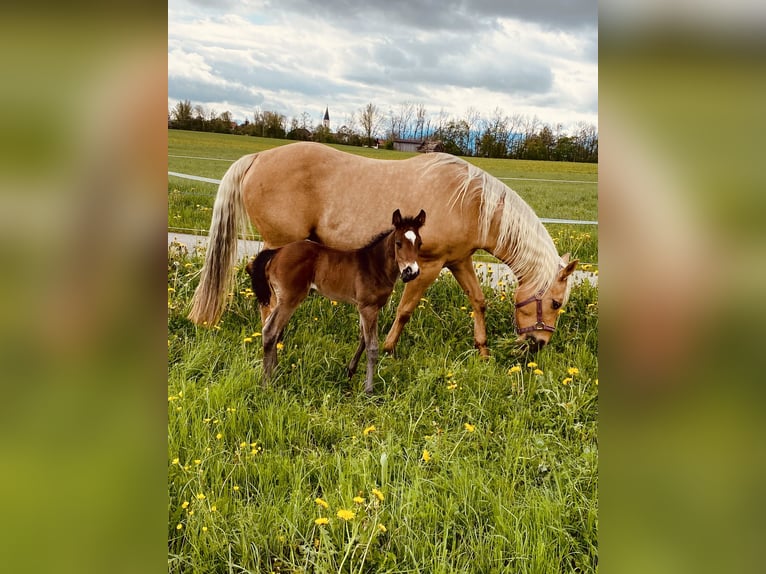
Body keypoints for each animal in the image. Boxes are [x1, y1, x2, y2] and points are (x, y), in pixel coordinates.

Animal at [189, 142, 580, 354]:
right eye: (556, 303)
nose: (539, 344)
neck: (470, 201)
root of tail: (257, 157)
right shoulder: (429, 265)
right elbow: (406, 309)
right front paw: (390, 348)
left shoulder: (458, 261)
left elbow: (478, 300)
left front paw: (481, 349)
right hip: (279, 246)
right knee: (267, 292)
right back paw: (275, 337)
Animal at [246, 210, 426, 396]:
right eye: (398, 243)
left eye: (419, 243)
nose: (412, 272)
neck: (375, 266)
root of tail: (277, 253)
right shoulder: (368, 307)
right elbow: (372, 346)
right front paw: (369, 390)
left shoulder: (364, 307)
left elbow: (362, 338)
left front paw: (350, 372)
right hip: (289, 299)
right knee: (270, 330)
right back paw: (267, 383)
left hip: (280, 299)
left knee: (272, 328)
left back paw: (276, 373)